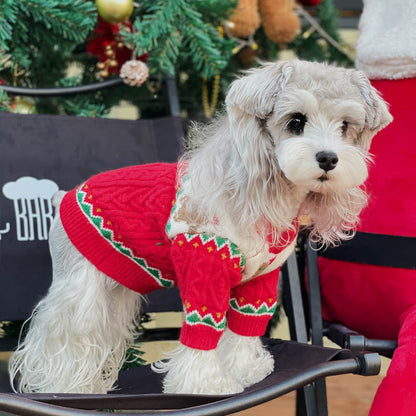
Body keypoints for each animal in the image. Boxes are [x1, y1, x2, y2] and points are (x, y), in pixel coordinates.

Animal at [10, 60, 394, 394]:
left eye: (345, 127)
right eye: (296, 121)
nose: (329, 159)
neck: (268, 194)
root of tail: (66, 195)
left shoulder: (261, 281)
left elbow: (245, 325)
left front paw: (245, 368)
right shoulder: (206, 267)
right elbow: (203, 330)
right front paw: (203, 383)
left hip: (117, 288)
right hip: (81, 290)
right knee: (63, 338)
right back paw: (61, 386)